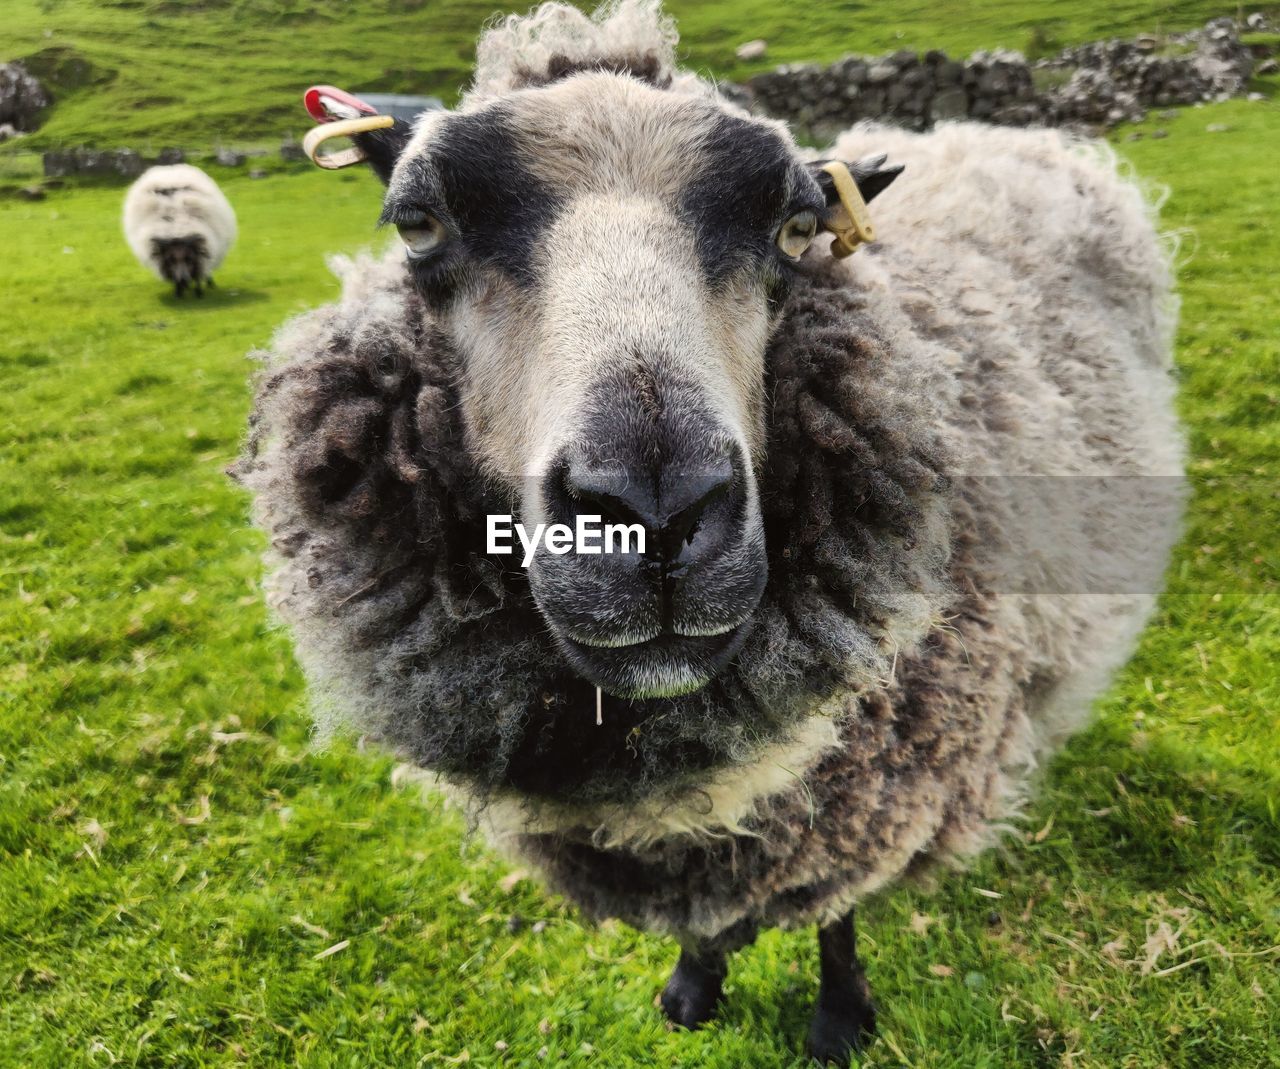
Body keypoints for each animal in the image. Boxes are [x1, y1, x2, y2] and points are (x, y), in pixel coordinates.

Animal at [124, 163, 238, 297]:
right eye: (171, 260)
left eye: (188, 258)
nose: (183, 280)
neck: (176, 227)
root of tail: (170, 169)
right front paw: (179, 292)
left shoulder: (200, 252)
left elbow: (199, 273)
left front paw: (198, 293)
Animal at [232, 2, 1177, 1060]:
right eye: (419, 224)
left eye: (798, 228)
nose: (653, 516)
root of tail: (1005, 133)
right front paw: (692, 985)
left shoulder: (870, 785)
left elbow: (835, 912)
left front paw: (838, 1017)